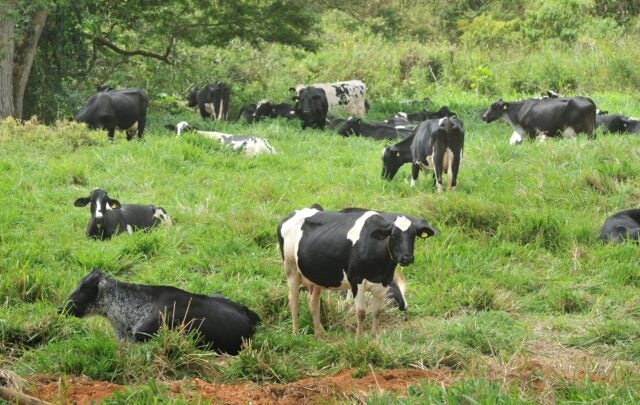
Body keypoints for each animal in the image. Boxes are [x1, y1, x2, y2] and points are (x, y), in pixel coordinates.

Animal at [277, 206, 437, 338]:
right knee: (293, 301)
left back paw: (319, 335)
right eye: (393, 235)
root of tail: (294, 213)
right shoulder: (356, 281)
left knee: (313, 303)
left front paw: (373, 337)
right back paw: (295, 334)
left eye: (413, 235)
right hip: (291, 269)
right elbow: (361, 313)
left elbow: (377, 311)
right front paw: (359, 340)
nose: (407, 258)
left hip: (315, 276)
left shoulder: (384, 282)